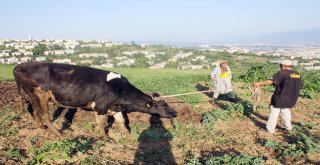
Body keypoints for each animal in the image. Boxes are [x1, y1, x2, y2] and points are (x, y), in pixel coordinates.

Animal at [13, 62, 178, 137]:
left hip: (31, 95)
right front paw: (106, 138)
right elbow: (102, 124)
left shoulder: (115, 108)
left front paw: (129, 136)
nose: (175, 112)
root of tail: (20, 65)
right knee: (43, 114)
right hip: (41, 95)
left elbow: (122, 122)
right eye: (162, 105)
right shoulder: (100, 107)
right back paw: (58, 133)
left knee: (33, 110)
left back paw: (40, 128)